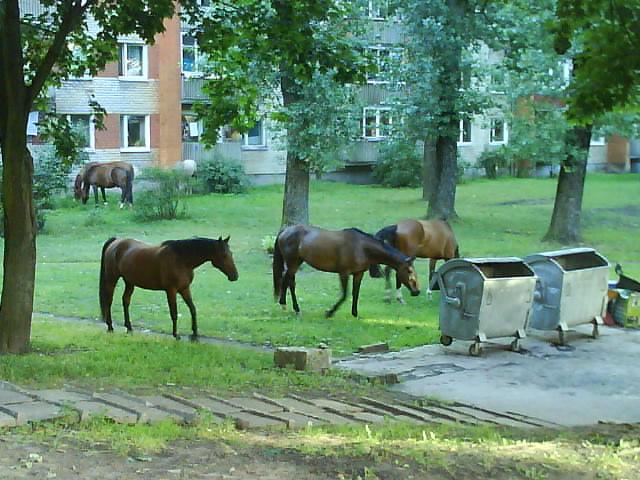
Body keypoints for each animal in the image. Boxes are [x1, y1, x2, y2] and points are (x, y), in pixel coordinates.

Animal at [99, 234, 239, 340]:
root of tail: (116, 241)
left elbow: (193, 309)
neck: (182, 259)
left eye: (231, 253)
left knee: (126, 301)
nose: (235, 276)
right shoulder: (171, 290)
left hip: (129, 282)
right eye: (224, 255)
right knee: (109, 301)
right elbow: (174, 313)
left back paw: (129, 327)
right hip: (112, 279)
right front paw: (176, 335)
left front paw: (194, 334)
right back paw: (110, 327)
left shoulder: (184, 289)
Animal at [274, 225, 420, 318]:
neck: (361, 247)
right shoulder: (343, 273)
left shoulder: (358, 274)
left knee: (287, 280)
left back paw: (286, 306)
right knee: (289, 282)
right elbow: (345, 294)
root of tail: (285, 230)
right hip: (293, 263)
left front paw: (355, 314)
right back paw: (294, 308)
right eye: (409, 270)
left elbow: (355, 294)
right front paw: (330, 312)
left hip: (296, 262)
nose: (416, 291)